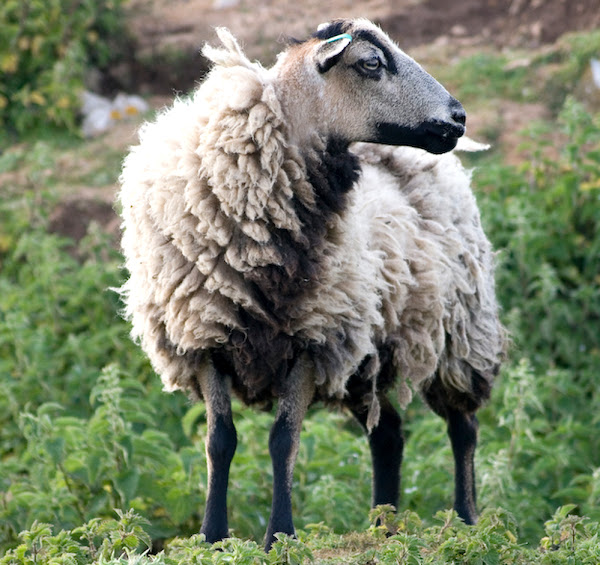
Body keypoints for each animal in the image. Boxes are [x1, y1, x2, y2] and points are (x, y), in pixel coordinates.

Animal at [118, 18, 506, 552]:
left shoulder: (312, 338)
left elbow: (283, 439)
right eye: (371, 63)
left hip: (459, 332)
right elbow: (220, 441)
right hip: (369, 354)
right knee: (389, 435)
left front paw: (279, 535)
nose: (458, 117)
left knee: (462, 428)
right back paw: (383, 529)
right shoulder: (206, 336)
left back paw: (467, 523)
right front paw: (213, 537)